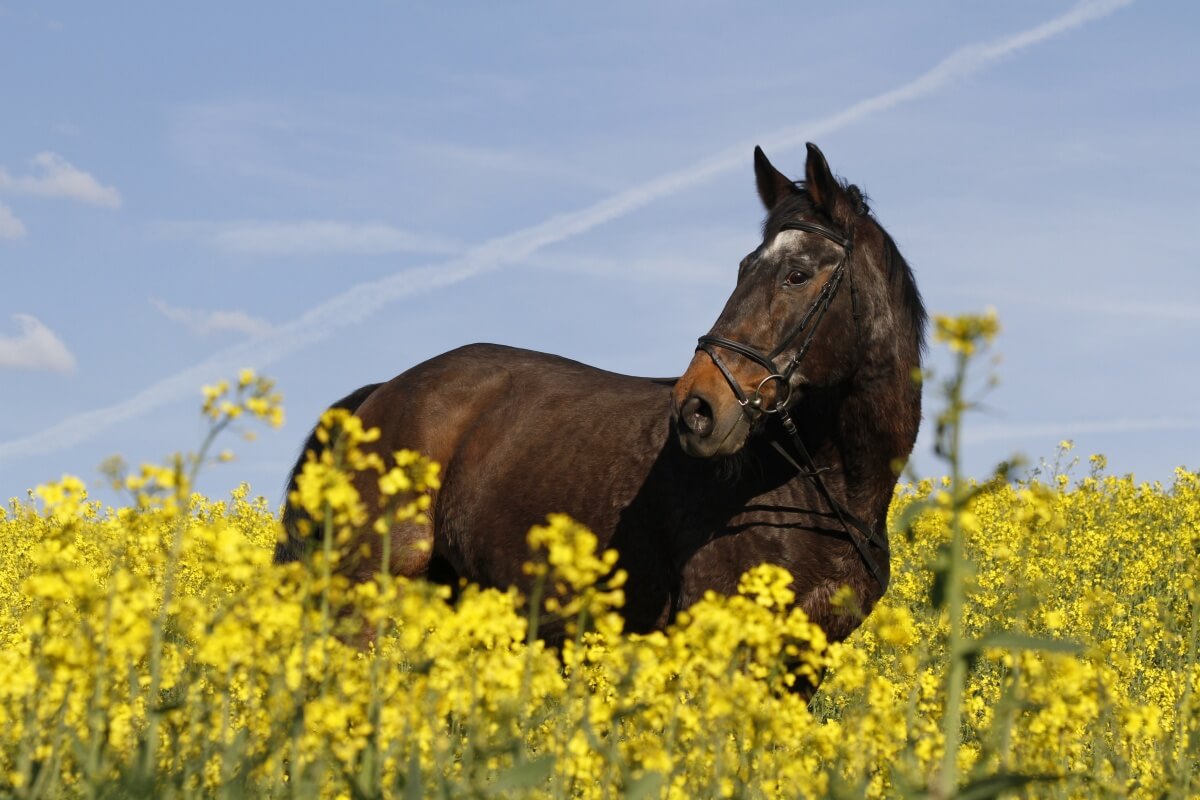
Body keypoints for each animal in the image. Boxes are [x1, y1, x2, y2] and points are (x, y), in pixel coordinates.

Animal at [277, 143, 926, 648]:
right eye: (744, 268)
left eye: (797, 274)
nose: (697, 410)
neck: (822, 487)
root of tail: (382, 393)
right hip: (366, 587)